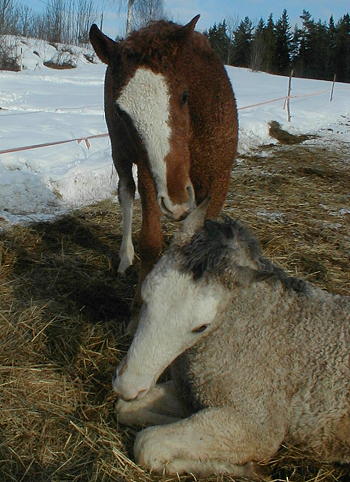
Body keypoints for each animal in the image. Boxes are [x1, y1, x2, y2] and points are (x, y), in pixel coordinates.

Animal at [89, 16, 239, 306]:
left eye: (184, 95)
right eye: (121, 111)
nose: (177, 199)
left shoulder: (219, 181)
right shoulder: (149, 175)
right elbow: (150, 241)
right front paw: (140, 307)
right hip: (121, 154)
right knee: (125, 192)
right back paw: (125, 258)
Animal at [112, 201, 350, 476]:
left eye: (201, 327)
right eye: (146, 293)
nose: (128, 386)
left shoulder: (258, 427)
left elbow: (148, 443)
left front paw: (247, 469)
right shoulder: (188, 394)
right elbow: (126, 410)